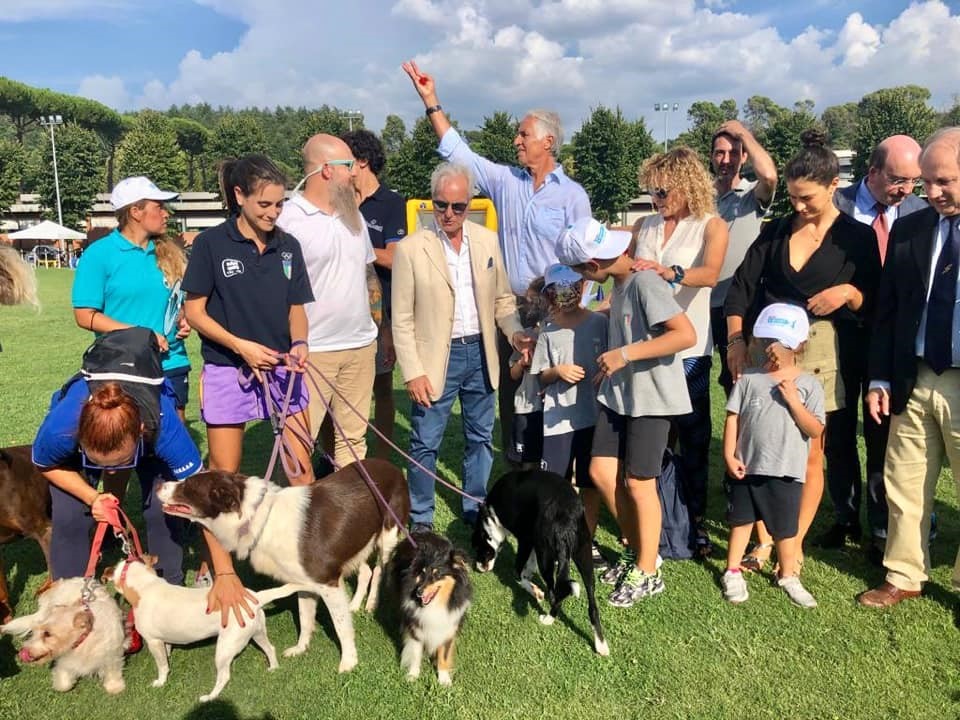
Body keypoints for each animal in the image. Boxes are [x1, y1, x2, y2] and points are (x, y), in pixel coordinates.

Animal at [106, 556, 308, 704]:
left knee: (224, 676)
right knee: (270, 649)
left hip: (224, 649)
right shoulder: (164, 640)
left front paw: (160, 682)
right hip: (257, 633)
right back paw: (273, 668)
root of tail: (256, 597)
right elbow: (168, 652)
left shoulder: (153, 641)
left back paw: (210, 697)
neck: (146, 586)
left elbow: (162, 666)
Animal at [159, 458, 406, 672]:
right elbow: (305, 619)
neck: (257, 520)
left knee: (379, 570)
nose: (160, 484)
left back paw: (371, 603)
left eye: (187, 486)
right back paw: (355, 604)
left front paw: (349, 662)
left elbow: (341, 626)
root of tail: (391, 465)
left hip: (388, 534)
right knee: (365, 570)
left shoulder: (327, 582)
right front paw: (301, 648)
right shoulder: (305, 583)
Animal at [390, 528, 472, 688]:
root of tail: (421, 531)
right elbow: (415, 653)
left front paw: (444, 680)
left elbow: (443, 655)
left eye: (437, 574)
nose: (418, 592)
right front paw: (412, 676)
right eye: (422, 572)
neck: (436, 605)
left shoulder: (448, 629)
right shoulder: (416, 628)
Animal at [470, 470, 608, 656]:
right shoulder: (535, 544)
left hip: (547, 558)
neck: (492, 512)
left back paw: (548, 619)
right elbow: (528, 567)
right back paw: (601, 645)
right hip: (584, 556)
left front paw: (534, 591)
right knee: (592, 604)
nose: (477, 567)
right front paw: (532, 585)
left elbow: (519, 570)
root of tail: (566, 518)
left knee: (555, 595)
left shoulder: (526, 540)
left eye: (478, 547)